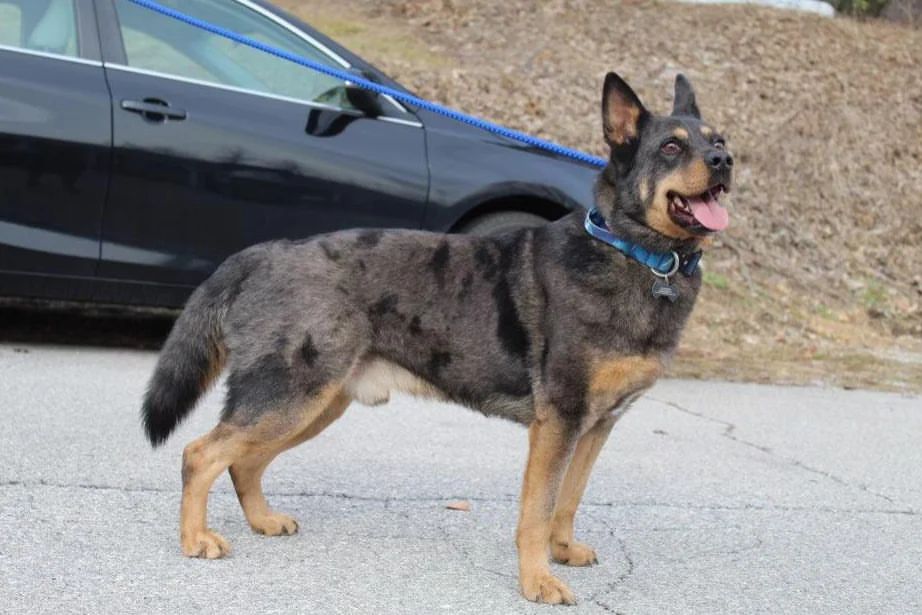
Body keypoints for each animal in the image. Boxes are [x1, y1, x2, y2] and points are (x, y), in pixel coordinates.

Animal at [142, 72, 732, 608]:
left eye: (718, 140)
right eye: (672, 146)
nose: (724, 162)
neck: (637, 256)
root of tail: (263, 252)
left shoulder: (595, 427)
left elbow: (568, 500)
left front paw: (562, 552)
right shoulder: (558, 424)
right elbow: (538, 511)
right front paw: (537, 580)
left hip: (313, 405)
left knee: (242, 461)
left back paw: (262, 520)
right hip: (288, 398)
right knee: (201, 453)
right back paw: (194, 539)